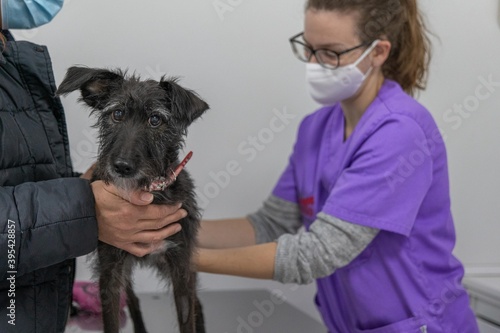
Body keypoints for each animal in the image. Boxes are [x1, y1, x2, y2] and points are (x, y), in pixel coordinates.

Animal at [55, 66, 208, 330]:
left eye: (155, 119)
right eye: (117, 114)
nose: (122, 167)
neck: (149, 190)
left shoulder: (181, 265)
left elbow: (187, 315)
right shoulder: (110, 269)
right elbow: (112, 319)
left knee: (197, 304)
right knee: (134, 301)